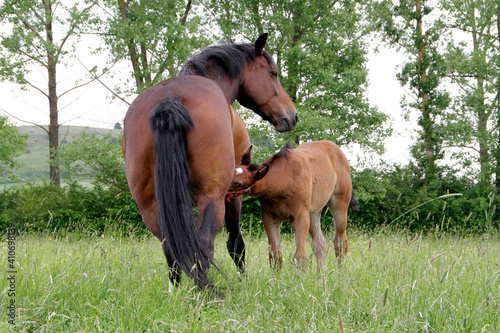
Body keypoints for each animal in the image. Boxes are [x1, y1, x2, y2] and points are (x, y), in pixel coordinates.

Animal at [122, 34, 294, 290]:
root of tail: (168, 100)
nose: (292, 116)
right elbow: (236, 244)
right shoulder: (233, 195)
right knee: (204, 244)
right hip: (212, 197)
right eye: (273, 73)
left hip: (150, 206)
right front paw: (244, 282)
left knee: (171, 248)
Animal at [227, 139, 360, 270]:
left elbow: (300, 257)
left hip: (339, 203)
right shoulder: (270, 218)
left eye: (238, 184)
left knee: (340, 242)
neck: (285, 180)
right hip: (313, 212)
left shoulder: (300, 217)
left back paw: (340, 273)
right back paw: (320, 275)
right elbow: (275, 256)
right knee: (319, 244)